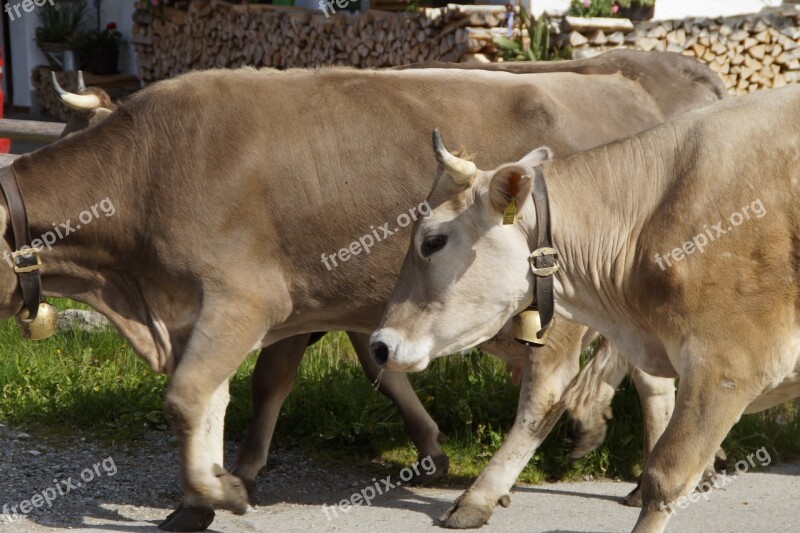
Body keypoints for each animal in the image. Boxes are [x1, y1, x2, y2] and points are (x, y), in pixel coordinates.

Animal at [0, 56, 720, 528]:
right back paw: (641, 479)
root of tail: (619, 84)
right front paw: (203, 494)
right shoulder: (220, 314)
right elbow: (224, 395)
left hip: (554, 305)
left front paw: (222, 489)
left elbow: (191, 397)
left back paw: (481, 497)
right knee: (652, 379)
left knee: (546, 391)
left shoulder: (247, 300)